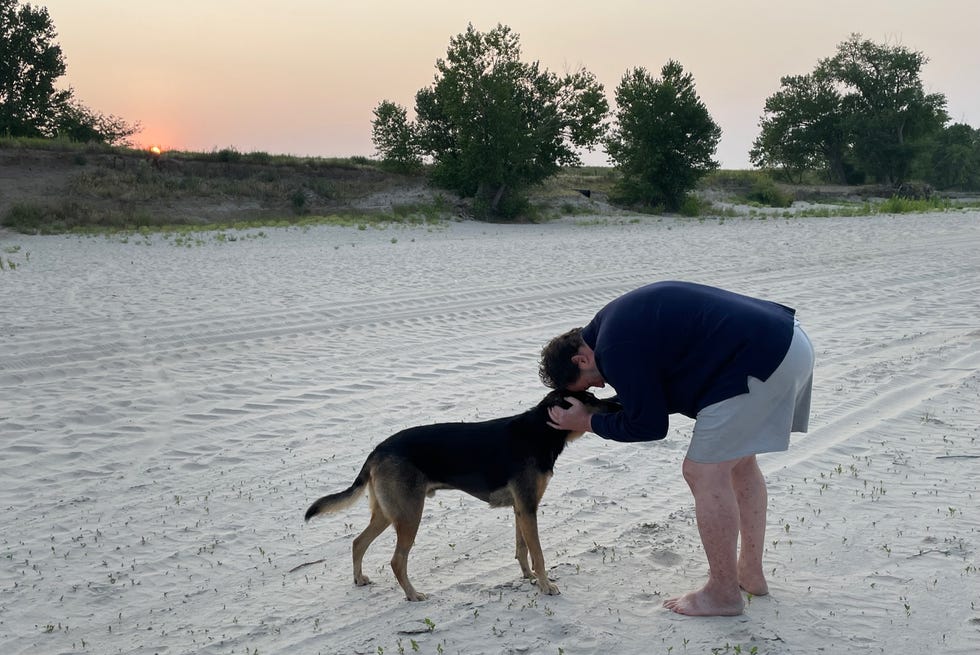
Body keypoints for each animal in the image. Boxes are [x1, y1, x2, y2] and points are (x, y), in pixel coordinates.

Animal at [304, 392, 620, 604]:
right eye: (590, 399)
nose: (617, 404)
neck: (539, 430)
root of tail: (377, 450)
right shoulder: (528, 506)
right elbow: (539, 553)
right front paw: (545, 586)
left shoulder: (521, 508)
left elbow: (522, 549)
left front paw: (529, 577)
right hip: (409, 514)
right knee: (396, 561)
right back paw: (413, 594)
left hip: (388, 512)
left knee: (358, 542)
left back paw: (359, 579)